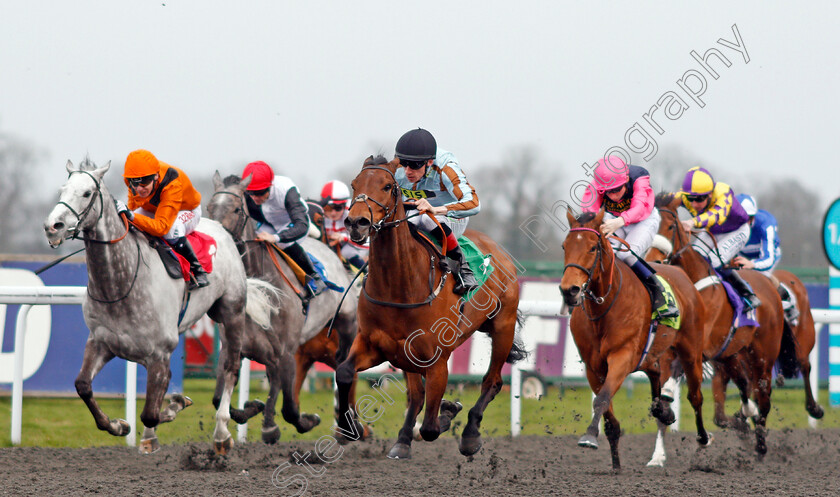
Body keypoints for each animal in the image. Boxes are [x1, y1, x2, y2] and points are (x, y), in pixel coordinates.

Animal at [45, 158, 278, 454]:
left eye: (87, 193)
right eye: (62, 190)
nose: (53, 226)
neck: (121, 284)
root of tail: (223, 229)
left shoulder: (159, 352)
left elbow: (150, 413)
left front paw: (156, 427)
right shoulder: (101, 342)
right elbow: (83, 386)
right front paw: (119, 424)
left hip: (232, 311)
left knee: (230, 367)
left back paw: (222, 432)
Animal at [207, 171, 364, 442]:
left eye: (236, 209)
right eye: (209, 207)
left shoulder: (286, 353)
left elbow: (289, 408)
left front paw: (290, 423)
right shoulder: (233, 349)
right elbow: (219, 398)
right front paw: (251, 408)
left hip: (347, 323)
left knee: (343, 363)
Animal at [336, 154, 524, 458]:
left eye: (387, 186)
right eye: (354, 184)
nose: (357, 222)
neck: (399, 285)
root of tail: (498, 251)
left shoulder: (436, 360)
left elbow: (431, 428)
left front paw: (448, 411)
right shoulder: (375, 344)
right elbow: (344, 372)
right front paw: (349, 426)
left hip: (502, 327)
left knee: (492, 381)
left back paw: (470, 435)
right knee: (416, 395)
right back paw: (402, 439)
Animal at [560, 207, 712, 470]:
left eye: (592, 248)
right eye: (564, 246)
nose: (569, 290)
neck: (604, 308)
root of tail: (681, 274)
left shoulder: (622, 356)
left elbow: (602, 399)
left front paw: (589, 436)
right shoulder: (593, 366)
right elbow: (607, 411)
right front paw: (615, 462)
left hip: (691, 351)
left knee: (695, 396)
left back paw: (702, 438)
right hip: (653, 355)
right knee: (656, 376)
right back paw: (664, 412)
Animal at [644, 192, 788, 456]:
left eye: (670, 227)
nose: (653, 260)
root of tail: (770, 287)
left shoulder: (698, 347)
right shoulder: (675, 347)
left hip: (764, 354)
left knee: (763, 394)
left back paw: (761, 442)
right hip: (729, 353)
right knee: (743, 383)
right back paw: (747, 415)